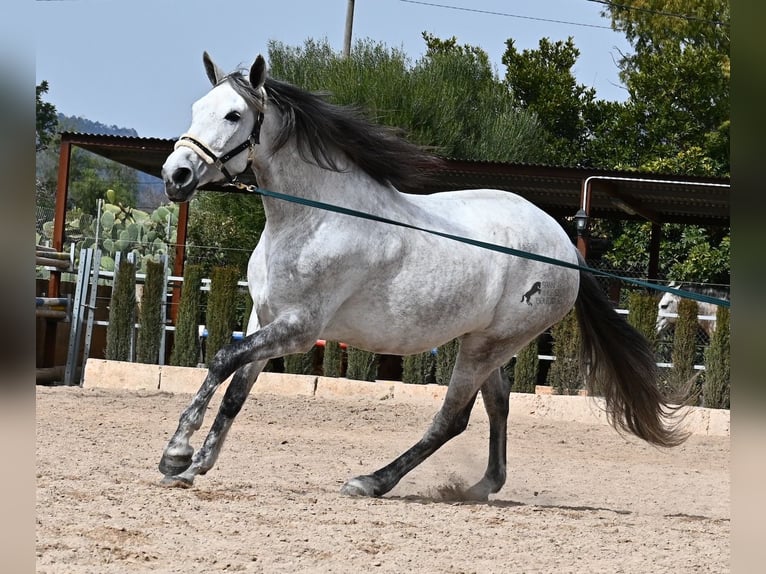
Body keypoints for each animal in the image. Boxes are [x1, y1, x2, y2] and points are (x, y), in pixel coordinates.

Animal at [159, 53, 688, 504]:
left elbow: (221, 361)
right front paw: (197, 465)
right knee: (498, 406)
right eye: (197, 109)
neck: (314, 219)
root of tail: (564, 246)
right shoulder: (262, 318)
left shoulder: (300, 328)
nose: (175, 176)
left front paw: (176, 455)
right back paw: (481, 487)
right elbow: (235, 390)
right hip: (486, 343)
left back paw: (372, 482)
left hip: (486, 346)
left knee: (451, 419)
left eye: (233, 116)